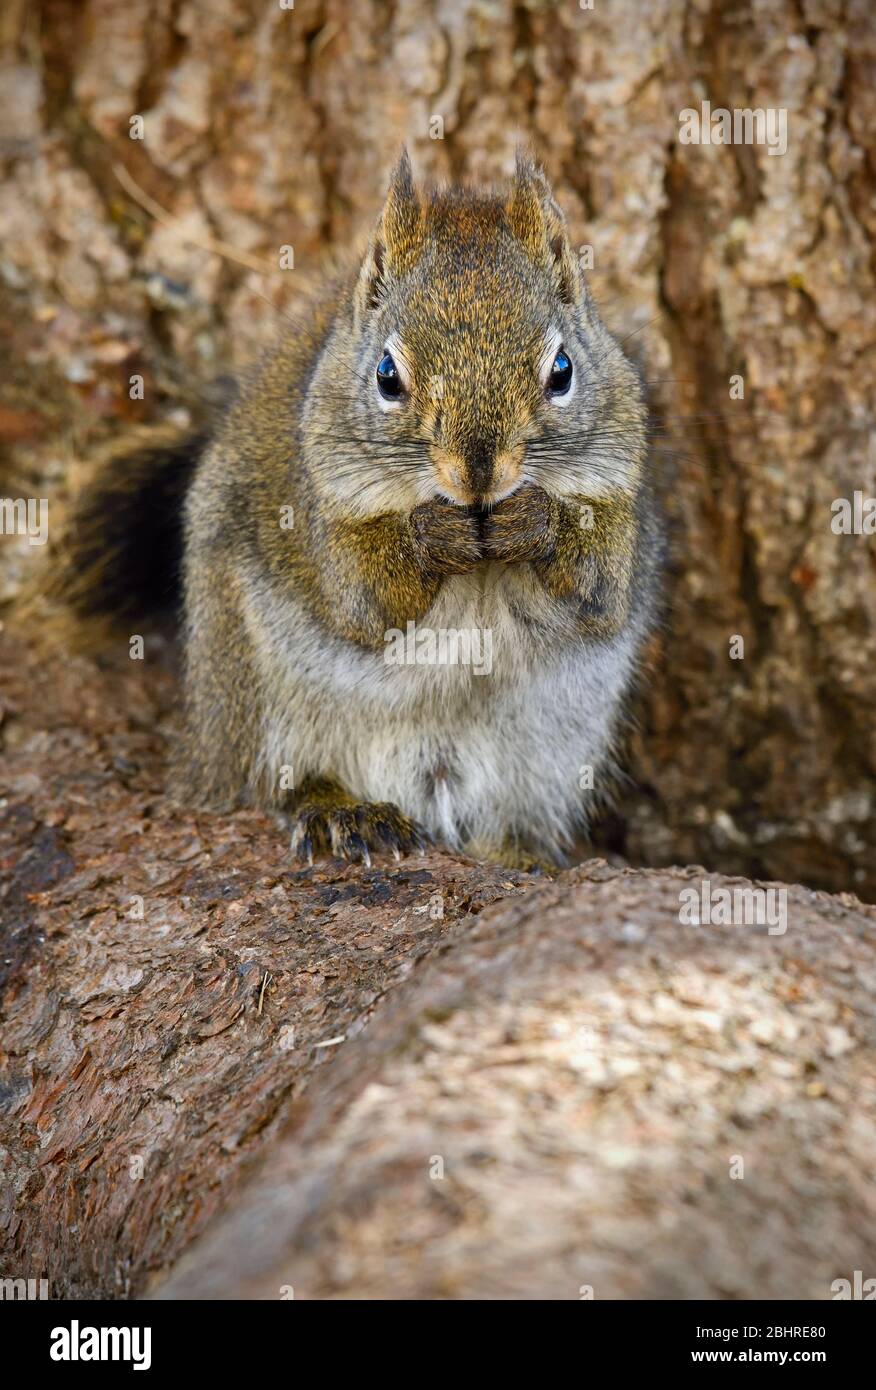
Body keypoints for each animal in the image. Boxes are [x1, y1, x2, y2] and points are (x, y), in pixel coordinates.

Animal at [39, 154, 659, 867]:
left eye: (562, 370)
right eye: (387, 375)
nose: (478, 476)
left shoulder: (618, 497)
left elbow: (599, 587)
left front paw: (533, 522)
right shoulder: (321, 512)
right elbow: (366, 599)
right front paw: (431, 535)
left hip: (549, 751)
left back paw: (516, 854)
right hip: (255, 691)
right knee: (271, 782)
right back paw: (342, 811)